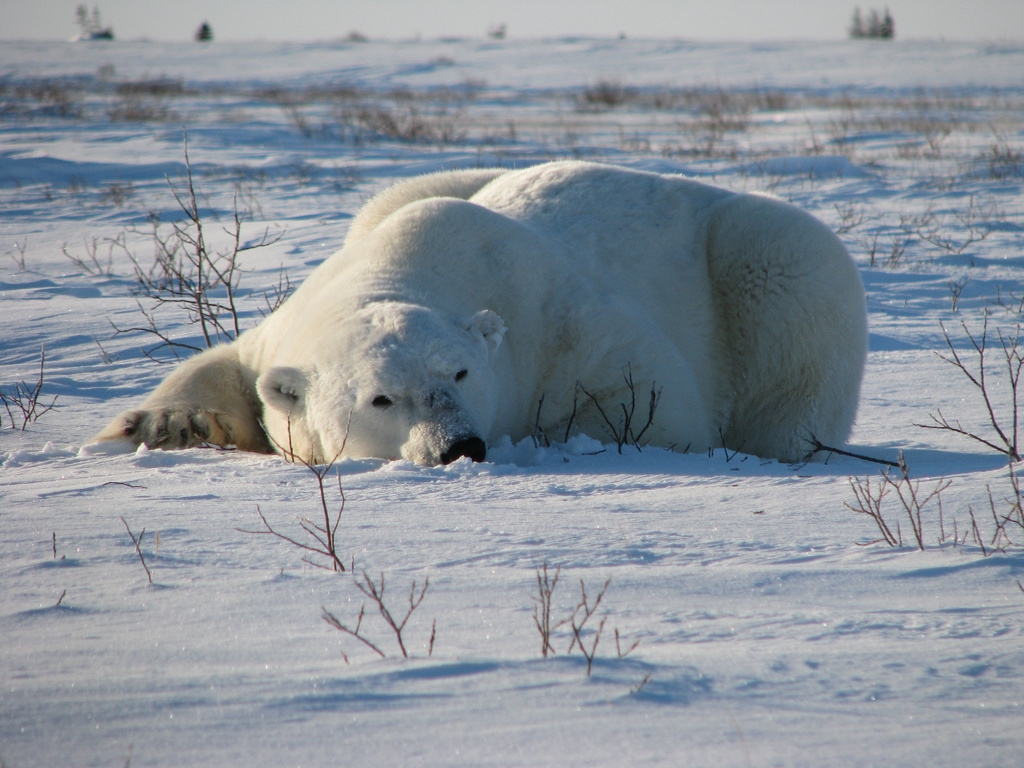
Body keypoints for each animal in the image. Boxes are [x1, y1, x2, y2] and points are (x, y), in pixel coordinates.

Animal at [92, 161, 867, 465]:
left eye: (461, 373)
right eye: (382, 397)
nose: (457, 446)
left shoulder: (558, 322)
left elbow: (654, 404)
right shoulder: (282, 330)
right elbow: (223, 365)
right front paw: (162, 426)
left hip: (764, 262)